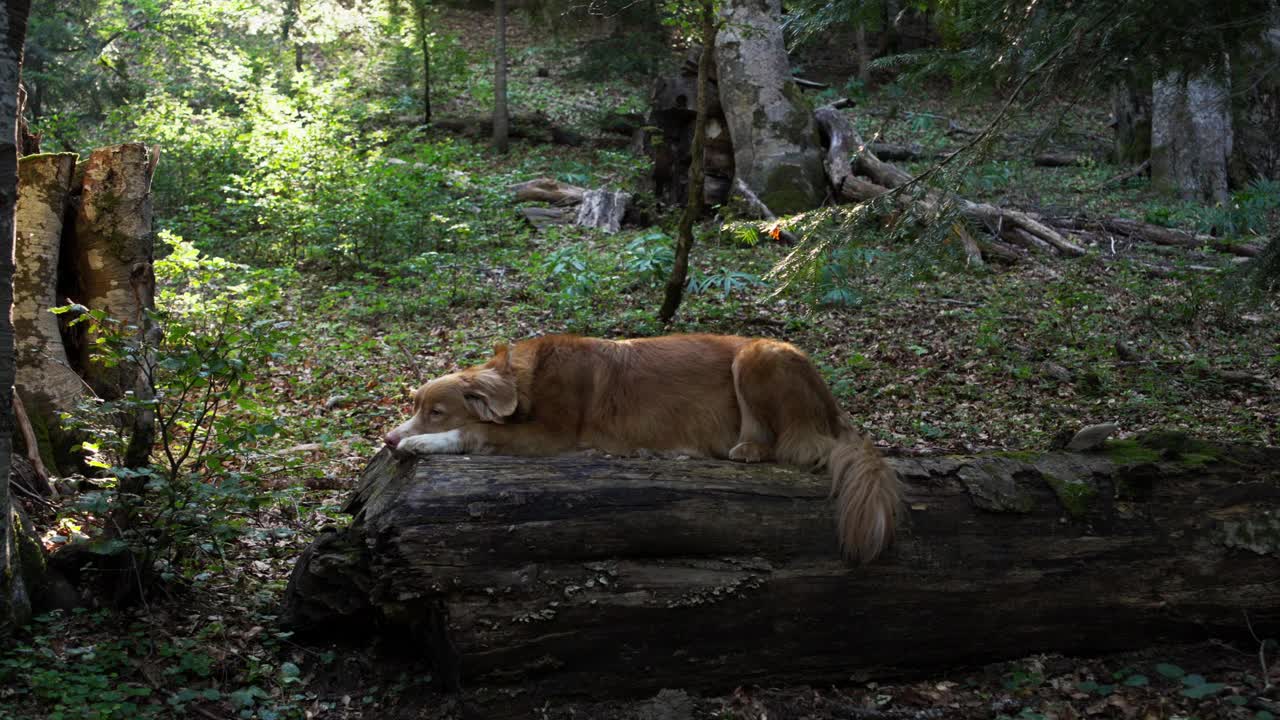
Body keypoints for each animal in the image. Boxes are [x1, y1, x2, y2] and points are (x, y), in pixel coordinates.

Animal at [384, 333, 896, 563]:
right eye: (415, 405)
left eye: (436, 412)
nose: (387, 440)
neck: (528, 377)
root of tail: (832, 409)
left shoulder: (551, 435)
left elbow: (478, 431)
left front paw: (419, 442)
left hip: (757, 355)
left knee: (784, 447)